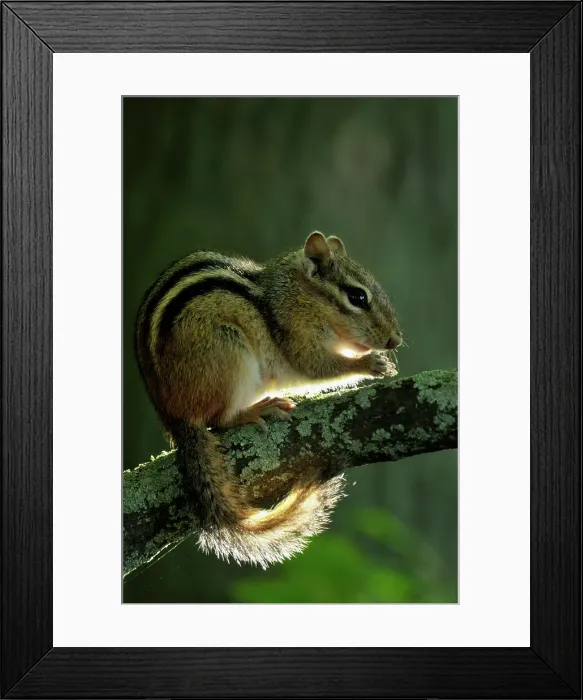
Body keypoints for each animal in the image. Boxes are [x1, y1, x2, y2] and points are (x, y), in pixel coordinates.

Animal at [135, 232, 402, 568]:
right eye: (358, 297)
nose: (395, 339)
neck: (299, 295)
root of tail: (173, 417)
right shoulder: (298, 336)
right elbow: (317, 367)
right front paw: (371, 363)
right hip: (228, 352)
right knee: (217, 420)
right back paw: (256, 410)